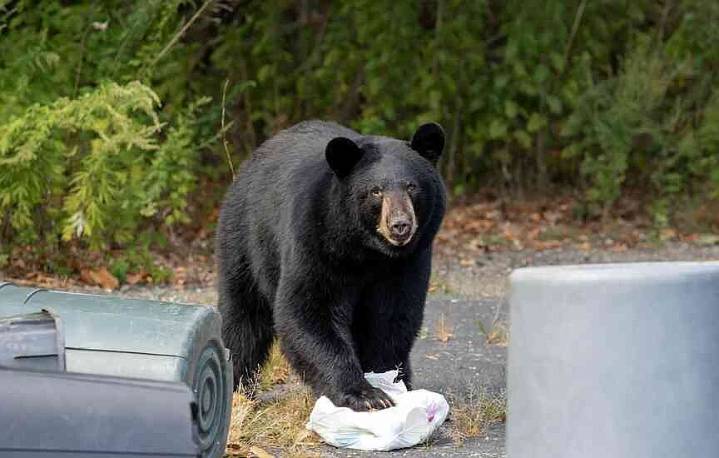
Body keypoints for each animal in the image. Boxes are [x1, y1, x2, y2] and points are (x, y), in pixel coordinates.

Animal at [216, 120, 446, 411]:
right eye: (376, 190)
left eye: (412, 187)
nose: (400, 225)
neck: (368, 251)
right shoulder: (316, 241)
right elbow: (309, 310)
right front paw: (366, 394)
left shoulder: (407, 262)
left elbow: (392, 317)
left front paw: (386, 379)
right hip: (247, 239)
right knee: (243, 318)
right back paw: (238, 389)